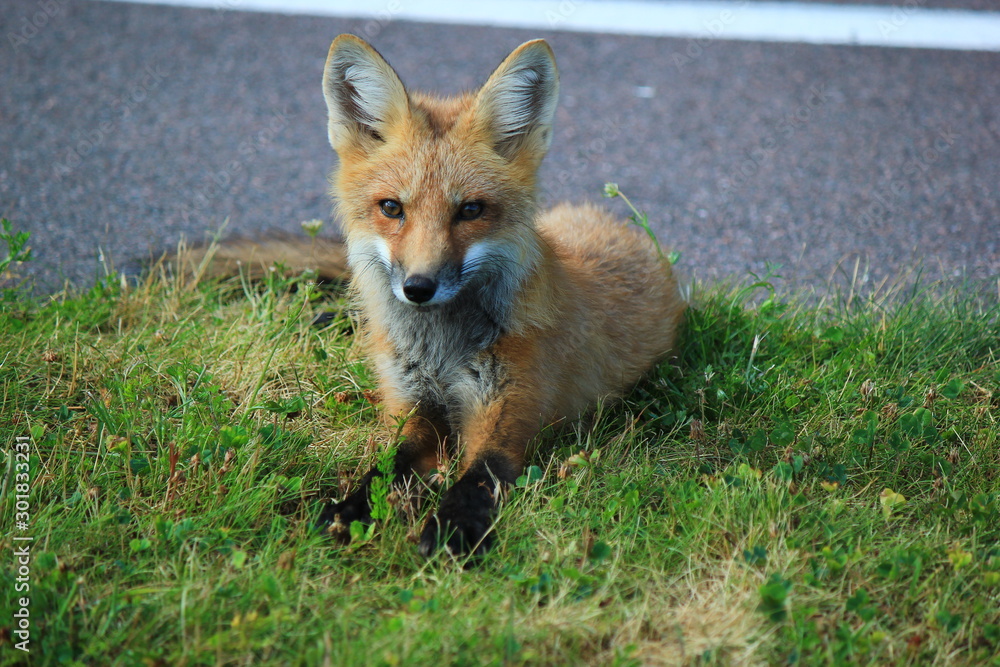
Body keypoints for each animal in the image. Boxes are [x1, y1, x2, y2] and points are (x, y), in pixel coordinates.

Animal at [191, 34, 685, 559]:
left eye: (470, 210)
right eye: (392, 208)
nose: (418, 288)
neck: (439, 353)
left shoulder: (509, 416)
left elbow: (478, 479)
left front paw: (452, 528)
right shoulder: (411, 409)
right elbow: (384, 467)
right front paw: (348, 510)